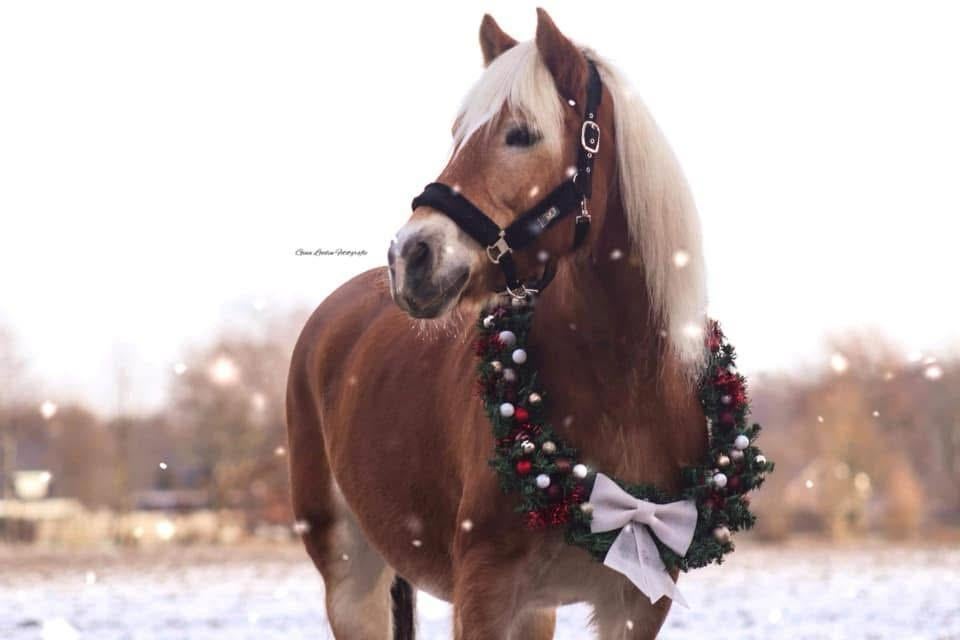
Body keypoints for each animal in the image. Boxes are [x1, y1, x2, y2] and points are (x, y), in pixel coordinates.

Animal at [286, 9, 708, 639]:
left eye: (522, 134)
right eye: (458, 132)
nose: (411, 256)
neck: (623, 393)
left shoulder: (635, 605)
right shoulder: (484, 593)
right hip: (351, 582)